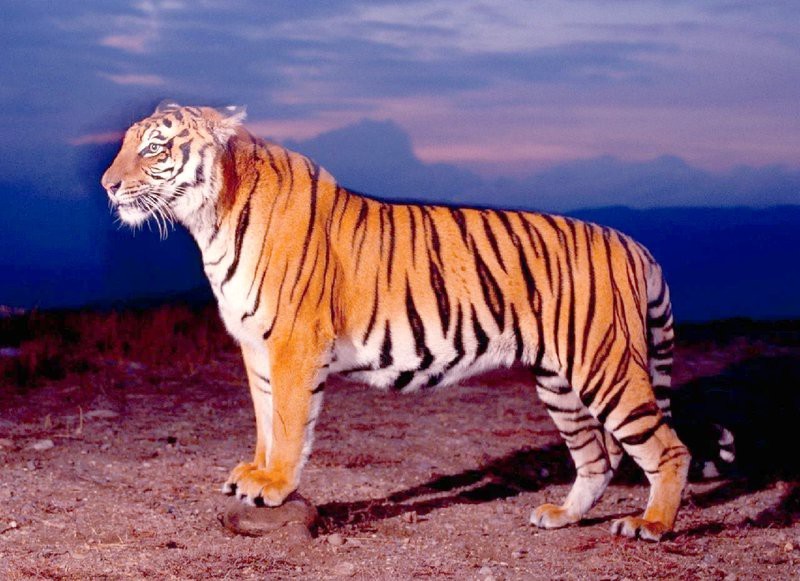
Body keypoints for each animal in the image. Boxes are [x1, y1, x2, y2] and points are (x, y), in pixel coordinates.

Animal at [102, 101, 717, 542]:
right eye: (126, 144)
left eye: (154, 147)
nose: (108, 184)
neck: (209, 220)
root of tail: (634, 243)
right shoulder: (255, 346)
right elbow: (263, 417)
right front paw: (252, 474)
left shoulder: (295, 343)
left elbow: (290, 423)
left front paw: (273, 487)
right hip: (559, 382)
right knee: (599, 456)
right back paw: (561, 516)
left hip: (604, 366)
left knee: (667, 448)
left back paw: (651, 525)